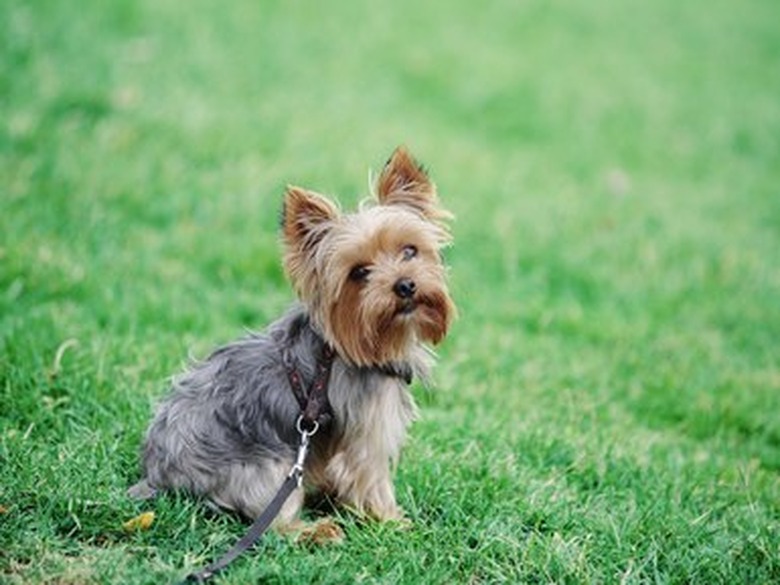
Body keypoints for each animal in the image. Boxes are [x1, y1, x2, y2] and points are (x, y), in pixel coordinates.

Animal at [129, 146, 458, 540]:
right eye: (359, 273)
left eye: (410, 251)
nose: (405, 285)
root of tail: (159, 473)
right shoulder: (368, 430)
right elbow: (371, 478)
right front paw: (392, 521)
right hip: (268, 467)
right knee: (273, 522)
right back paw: (318, 531)